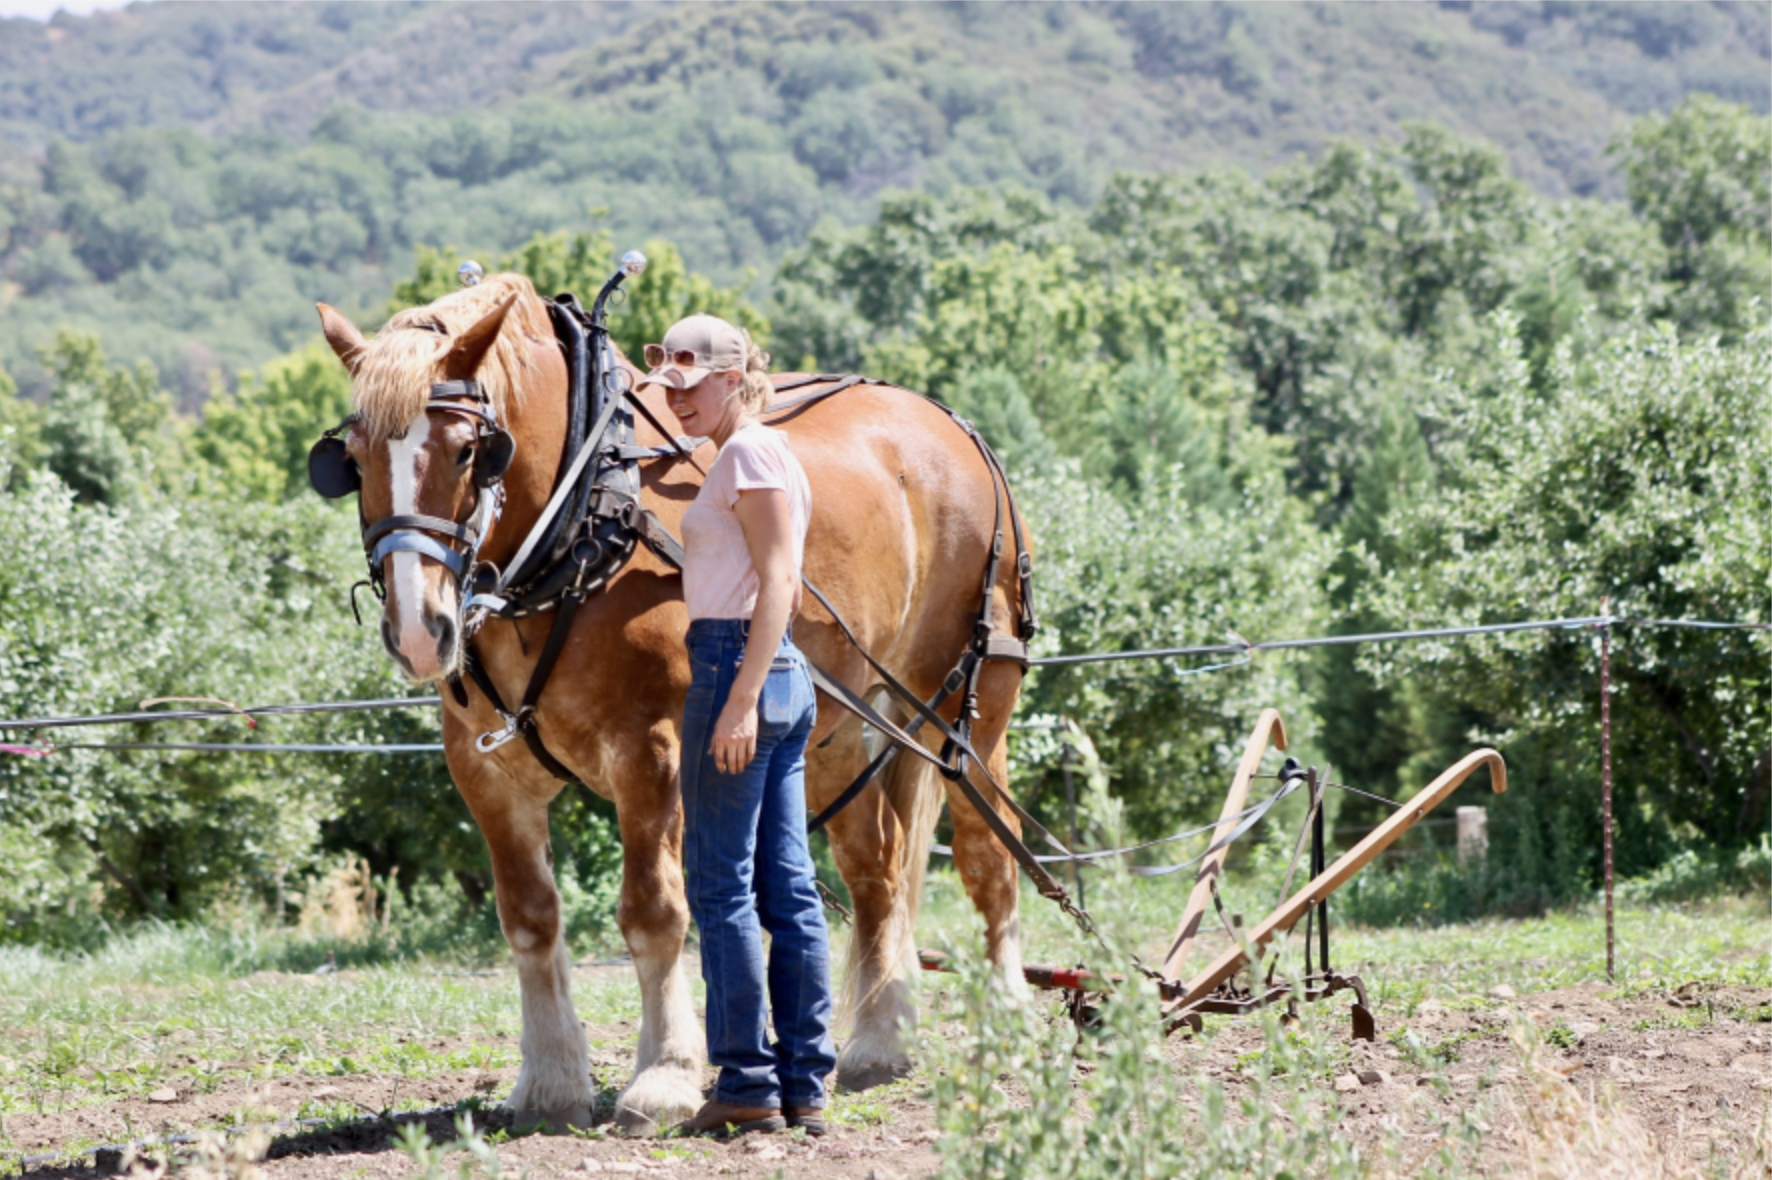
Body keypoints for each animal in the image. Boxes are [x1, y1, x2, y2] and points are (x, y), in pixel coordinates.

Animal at [312, 271, 1034, 1133]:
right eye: (353, 460)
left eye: (466, 450)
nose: (421, 631)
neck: (587, 513)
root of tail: (952, 427)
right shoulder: (485, 774)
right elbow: (529, 917)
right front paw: (550, 1081)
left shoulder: (650, 749)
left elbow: (653, 912)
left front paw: (664, 1074)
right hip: (835, 729)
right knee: (876, 870)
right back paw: (879, 1039)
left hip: (968, 702)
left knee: (990, 855)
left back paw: (1010, 1017)